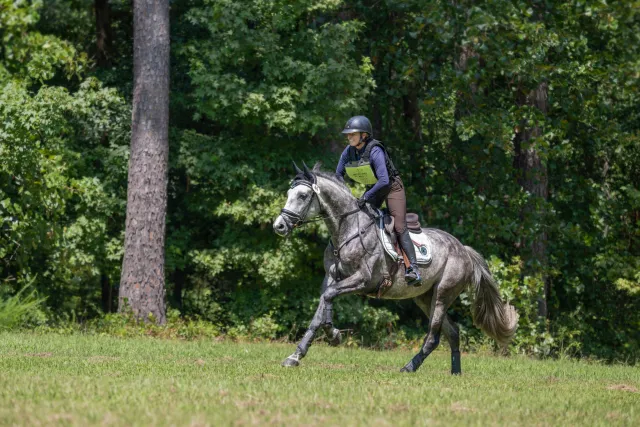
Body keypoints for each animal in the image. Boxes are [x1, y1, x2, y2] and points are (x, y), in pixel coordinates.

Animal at [272, 164, 516, 374]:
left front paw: (333, 335)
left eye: (303, 196)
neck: (347, 231)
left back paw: (409, 367)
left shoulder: (363, 280)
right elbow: (321, 309)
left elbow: (329, 298)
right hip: (425, 298)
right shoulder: (332, 278)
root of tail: (463, 249)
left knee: (433, 337)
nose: (279, 226)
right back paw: (455, 372)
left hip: (442, 294)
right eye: (289, 193)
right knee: (453, 332)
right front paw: (297, 354)